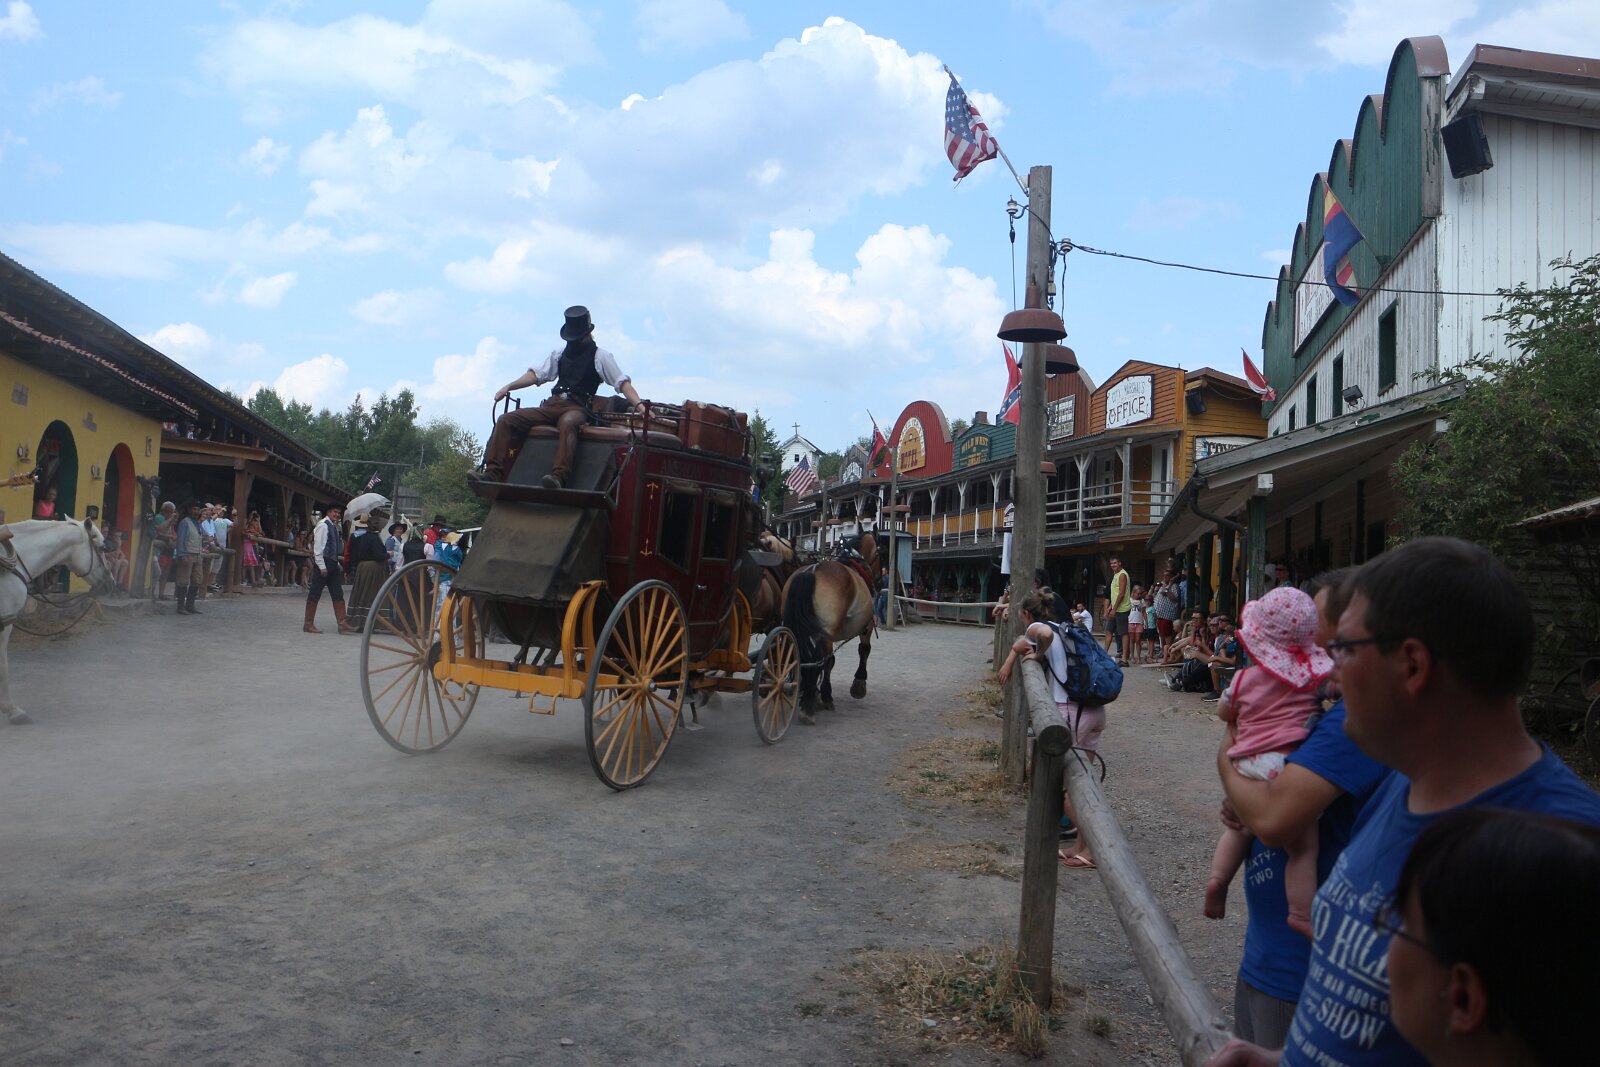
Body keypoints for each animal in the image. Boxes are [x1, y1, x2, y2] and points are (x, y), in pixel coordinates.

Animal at [766, 530, 879, 723]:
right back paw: (809, 704)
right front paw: (856, 684)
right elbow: (862, 650)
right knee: (818, 658)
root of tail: (812, 572)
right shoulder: (867, 625)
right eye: (880, 552)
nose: (879, 580)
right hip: (825, 632)